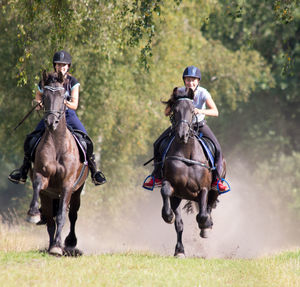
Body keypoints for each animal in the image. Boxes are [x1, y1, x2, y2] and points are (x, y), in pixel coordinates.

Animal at [27, 71, 88, 256]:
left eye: (63, 96)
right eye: (45, 96)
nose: (50, 122)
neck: (57, 143)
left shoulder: (67, 185)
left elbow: (62, 215)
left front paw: (58, 247)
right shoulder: (42, 177)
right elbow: (37, 184)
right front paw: (32, 214)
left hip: (76, 192)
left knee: (72, 215)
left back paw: (67, 243)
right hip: (49, 196)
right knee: (49, 220)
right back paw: (52, 244)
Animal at [159, 86, 225, 258]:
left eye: (192, 110)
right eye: (175, 110)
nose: (182, 134)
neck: (187, 152)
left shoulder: (203, 188)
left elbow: (202, 214)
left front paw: (206, 226)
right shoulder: (173, 188)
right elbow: (166, 191)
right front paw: (168, 216)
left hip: (215, 189)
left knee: (209, 206)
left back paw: (207, 227)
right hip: (178, 197)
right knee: (180, 225)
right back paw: (179, 250)